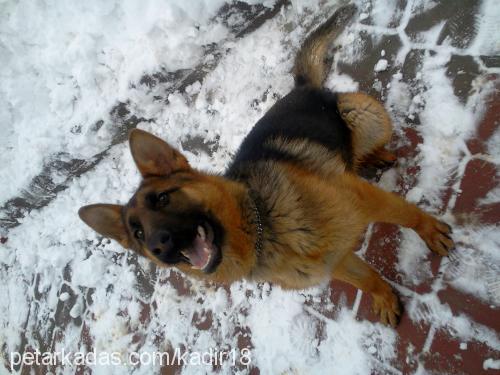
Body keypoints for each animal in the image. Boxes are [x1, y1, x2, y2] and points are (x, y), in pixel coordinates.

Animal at [78, 5, 454, 328]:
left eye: (162, 199)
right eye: (138, 234)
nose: (159, 245)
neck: (265, 228)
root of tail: (301, 87)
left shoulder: (367, 200)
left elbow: (407, 214)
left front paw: (429, 230)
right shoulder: (337, 260)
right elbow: (368, 279)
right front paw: (383, 297)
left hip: (366, 114)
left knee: (364, 141)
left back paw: (373, 155)